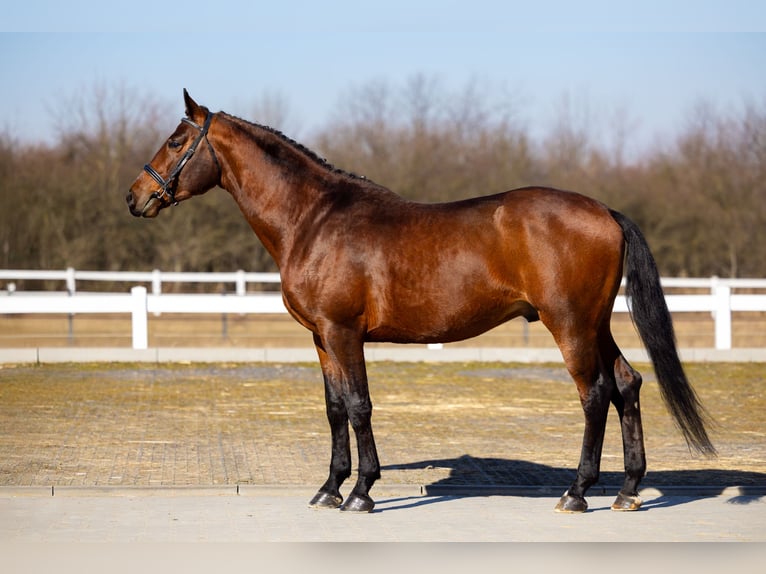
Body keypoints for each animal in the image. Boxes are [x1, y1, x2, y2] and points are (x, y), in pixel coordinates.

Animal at [127, 90, 715, 514]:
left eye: (177, 141)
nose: (135, 197)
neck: (313, 219)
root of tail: (605, 211)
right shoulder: (321, 338)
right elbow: (334, 409)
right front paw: (330, 488)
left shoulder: (343, 332)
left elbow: (359, 406)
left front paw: (361, 492)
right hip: (595, 324)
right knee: (627, 384)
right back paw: (627, 491)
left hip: (569, 324)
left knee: (594, 394)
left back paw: (577, 492)